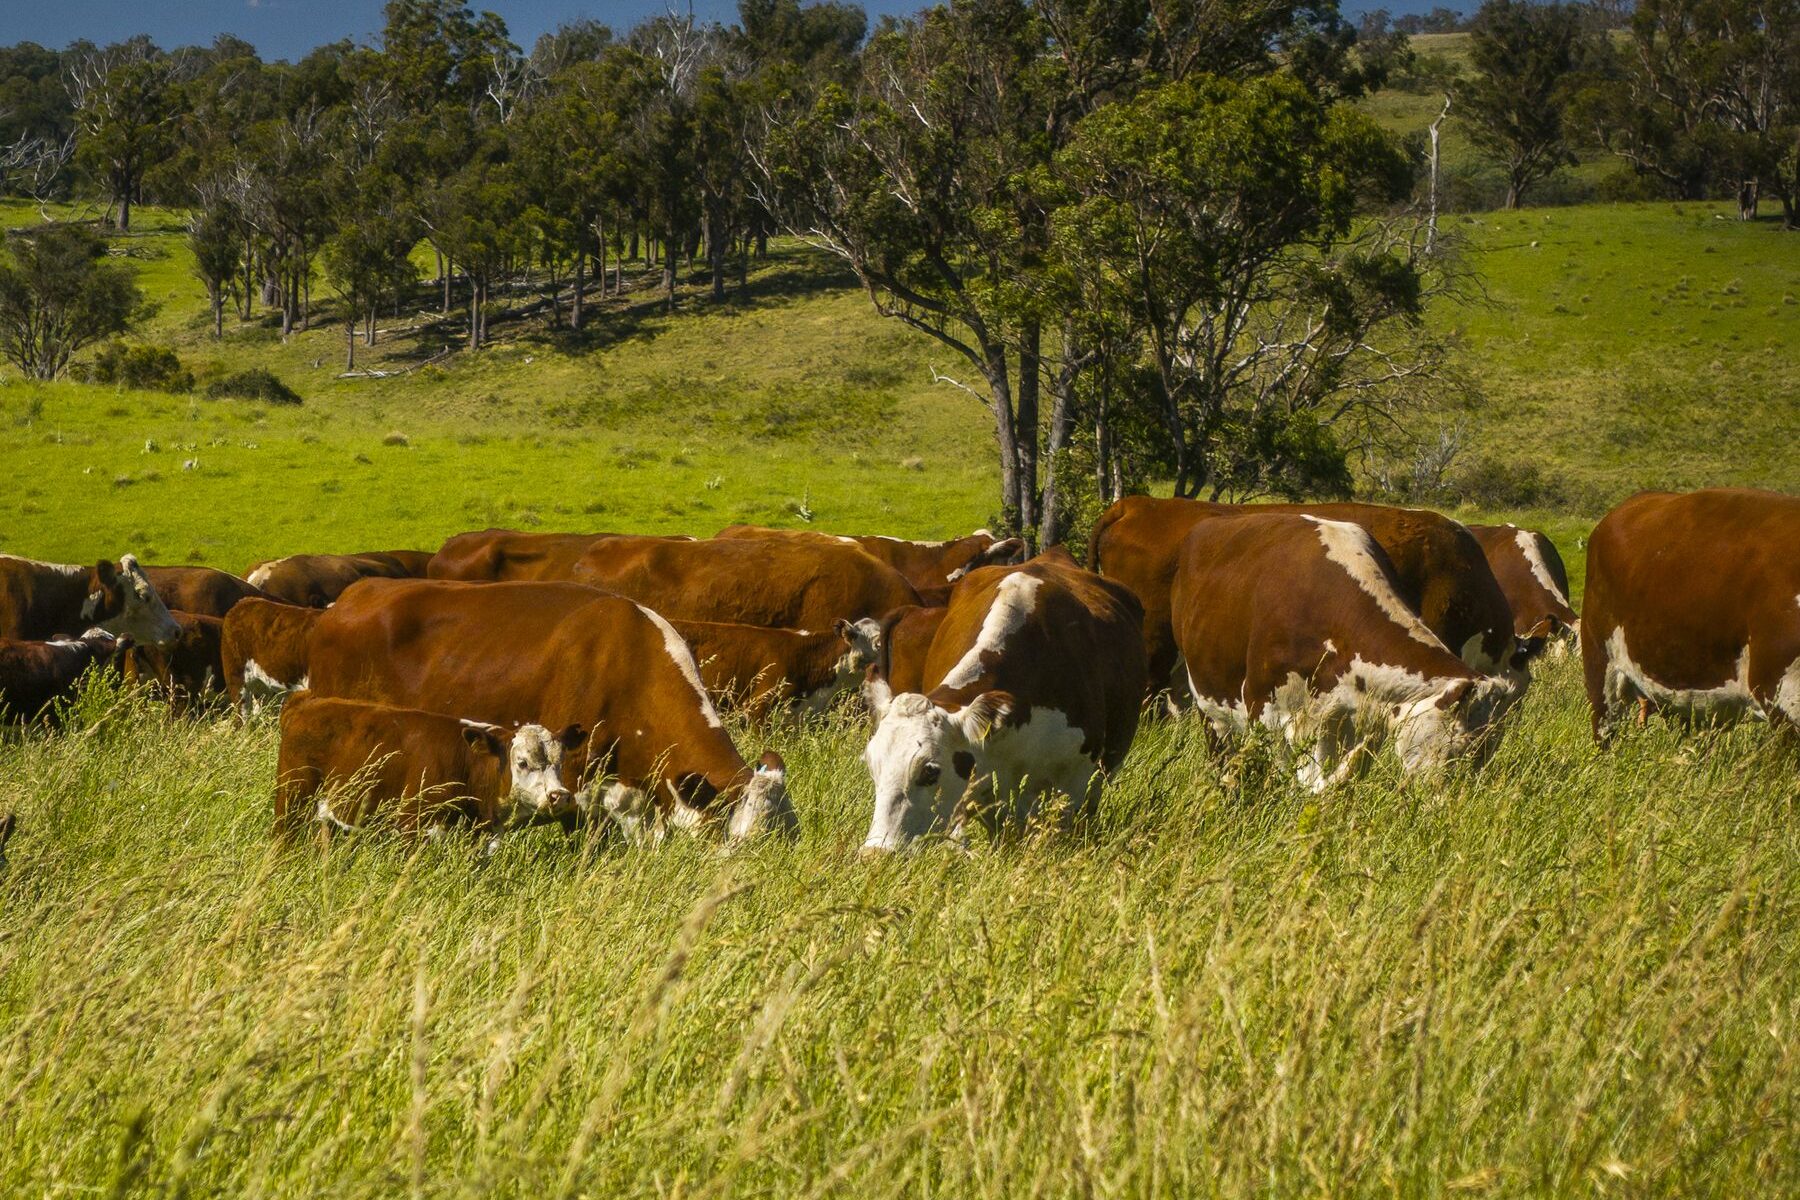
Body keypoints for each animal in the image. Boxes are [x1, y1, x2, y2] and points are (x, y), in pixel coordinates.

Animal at [275, 693, 586, 846]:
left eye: (560, 762)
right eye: (522, 763)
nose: (559, 795)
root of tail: (308, 701)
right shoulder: (410, 825)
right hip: (292, 802)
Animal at [1172, 512, 1512, 791]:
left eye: (1489, 750)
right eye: (1461, 748)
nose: (1454, 806)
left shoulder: (1348, 722)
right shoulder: (1264, 711)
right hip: (1206, 701)